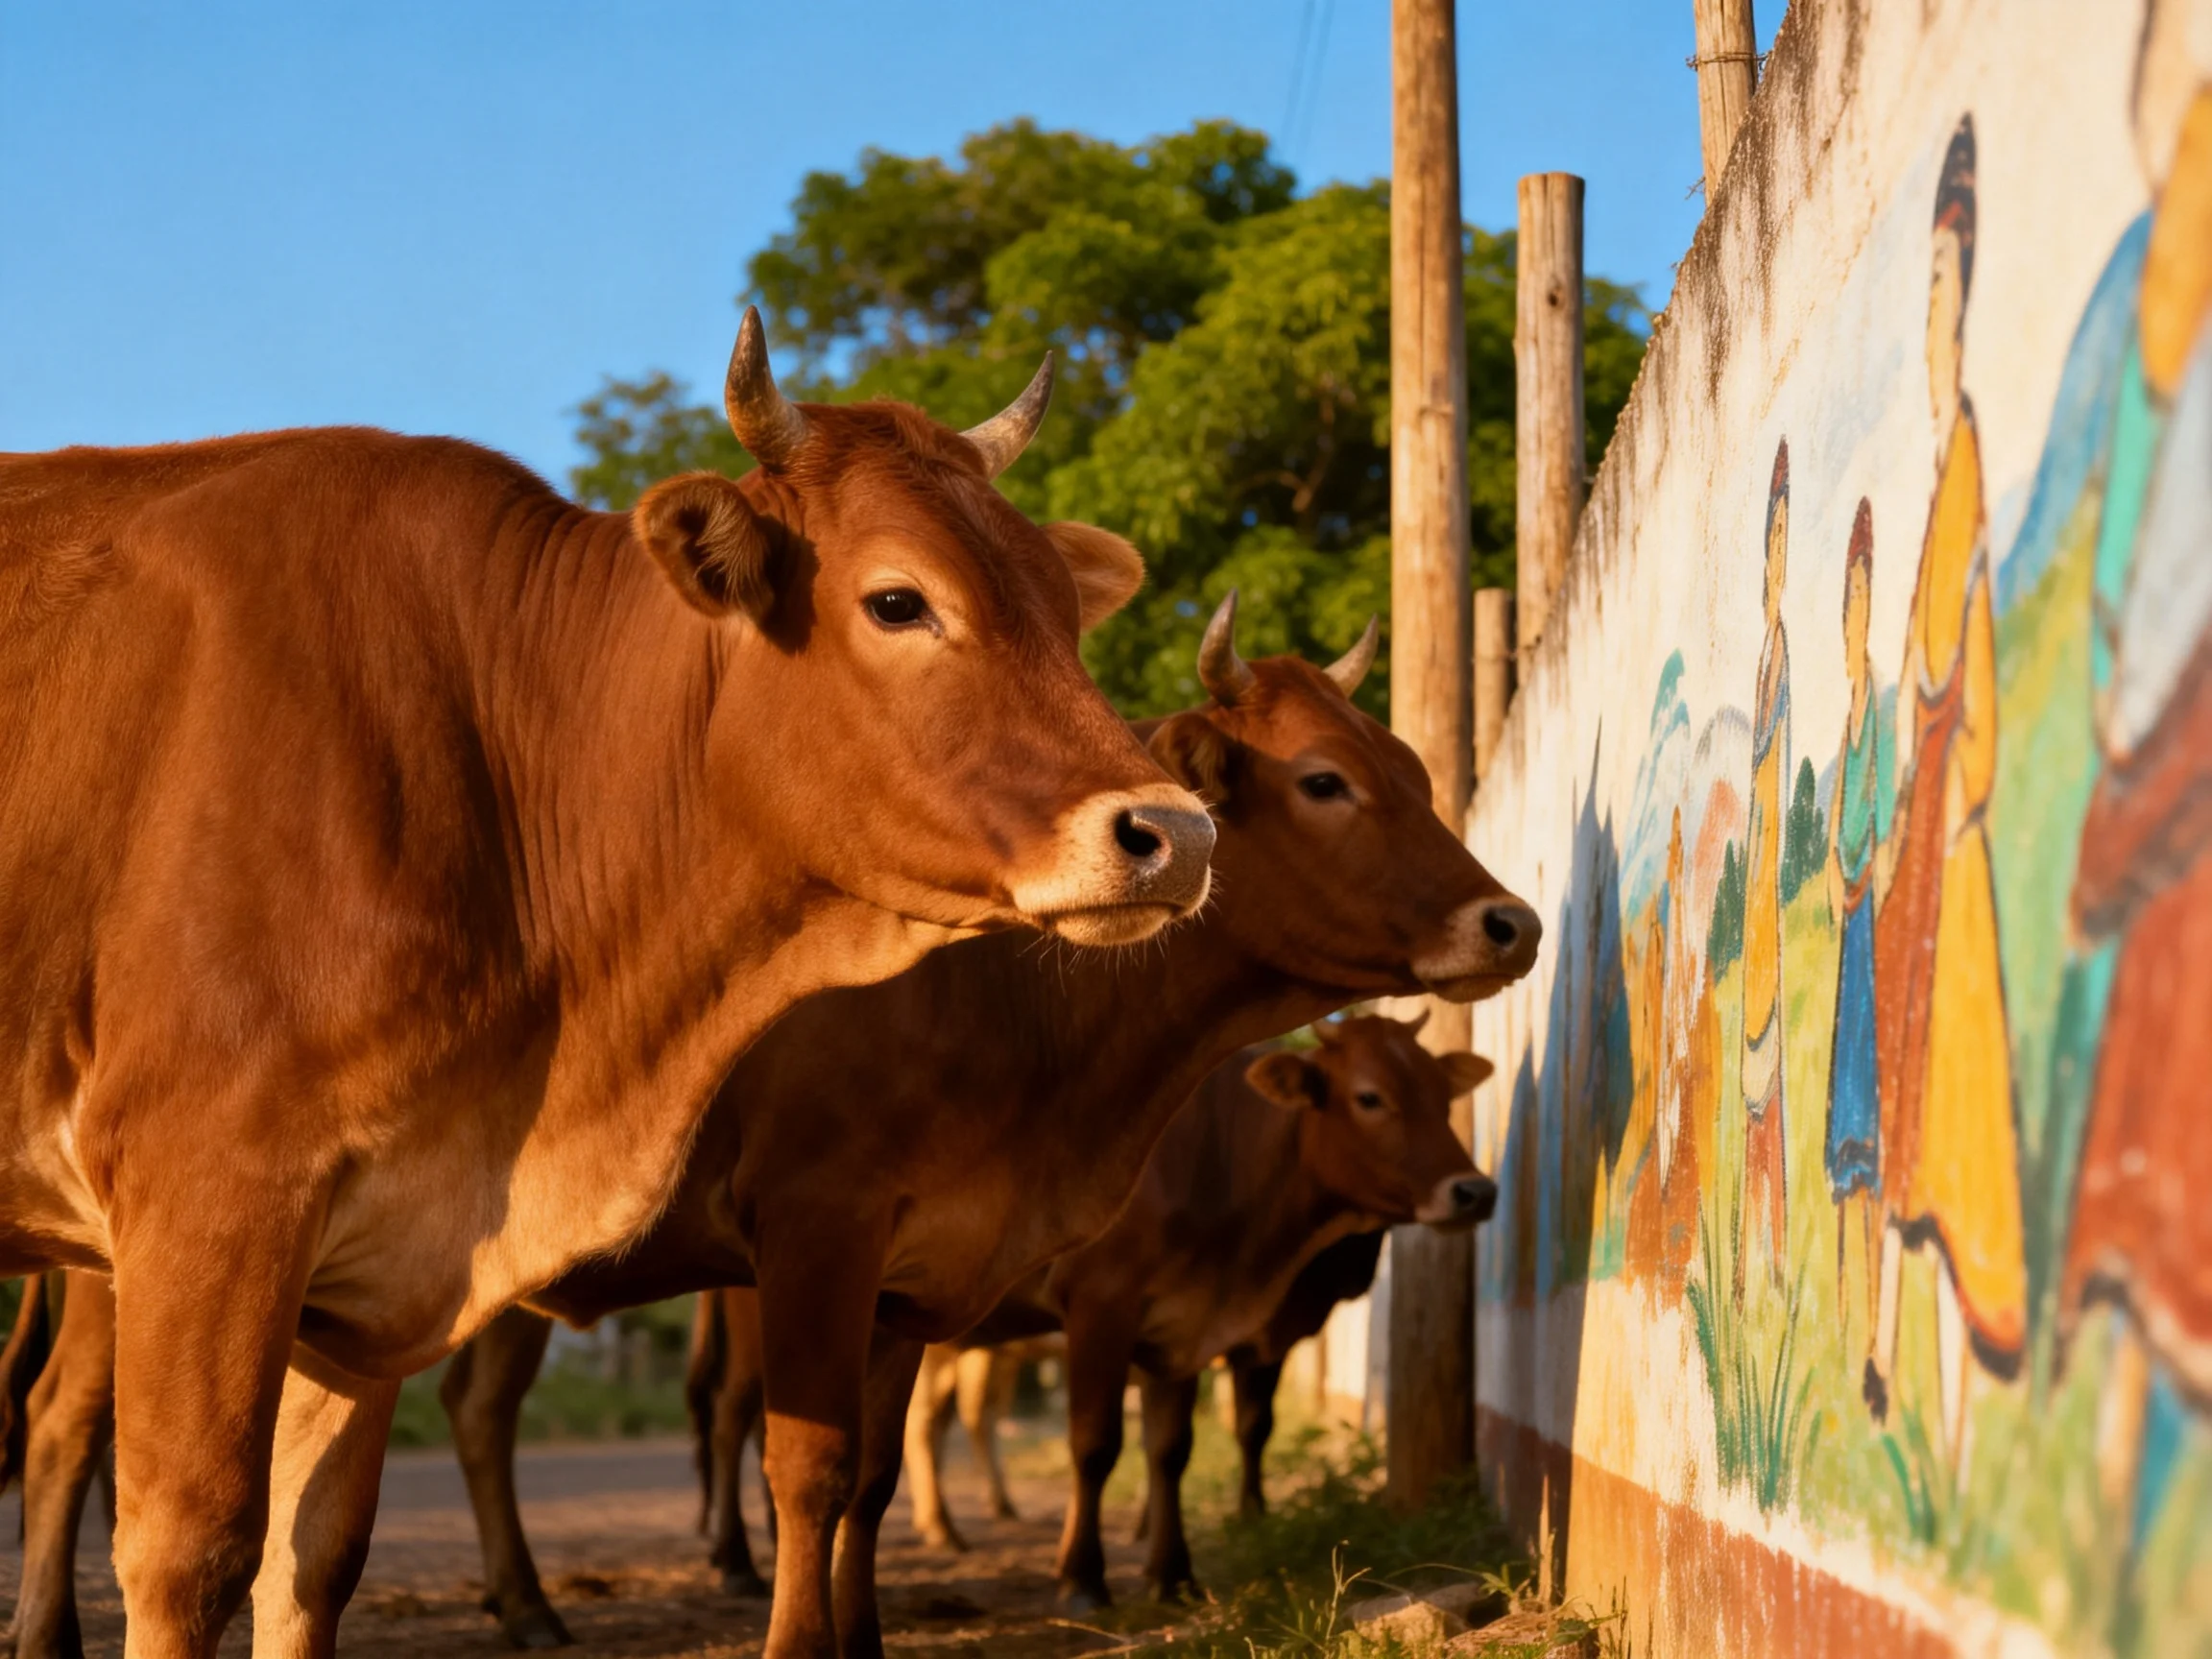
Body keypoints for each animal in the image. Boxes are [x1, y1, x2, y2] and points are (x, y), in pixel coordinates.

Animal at [0, 309, 1213, 1658]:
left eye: (1060, 606)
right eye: (899, 601)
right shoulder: (211, 1188)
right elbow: (190, 1550)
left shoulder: (372, 1255)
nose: (1174, 832)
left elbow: (308, 1560)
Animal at [5, 604, 1537, 1659]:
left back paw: (529, 1603)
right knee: (71, 1420)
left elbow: (872, 1476)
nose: (1508, 921)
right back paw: (52, 1625)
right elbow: (831, 1463)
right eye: (1325, 779)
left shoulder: (919, 1273)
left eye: (1411, 765)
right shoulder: (831, 1233)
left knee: (476, 1415)